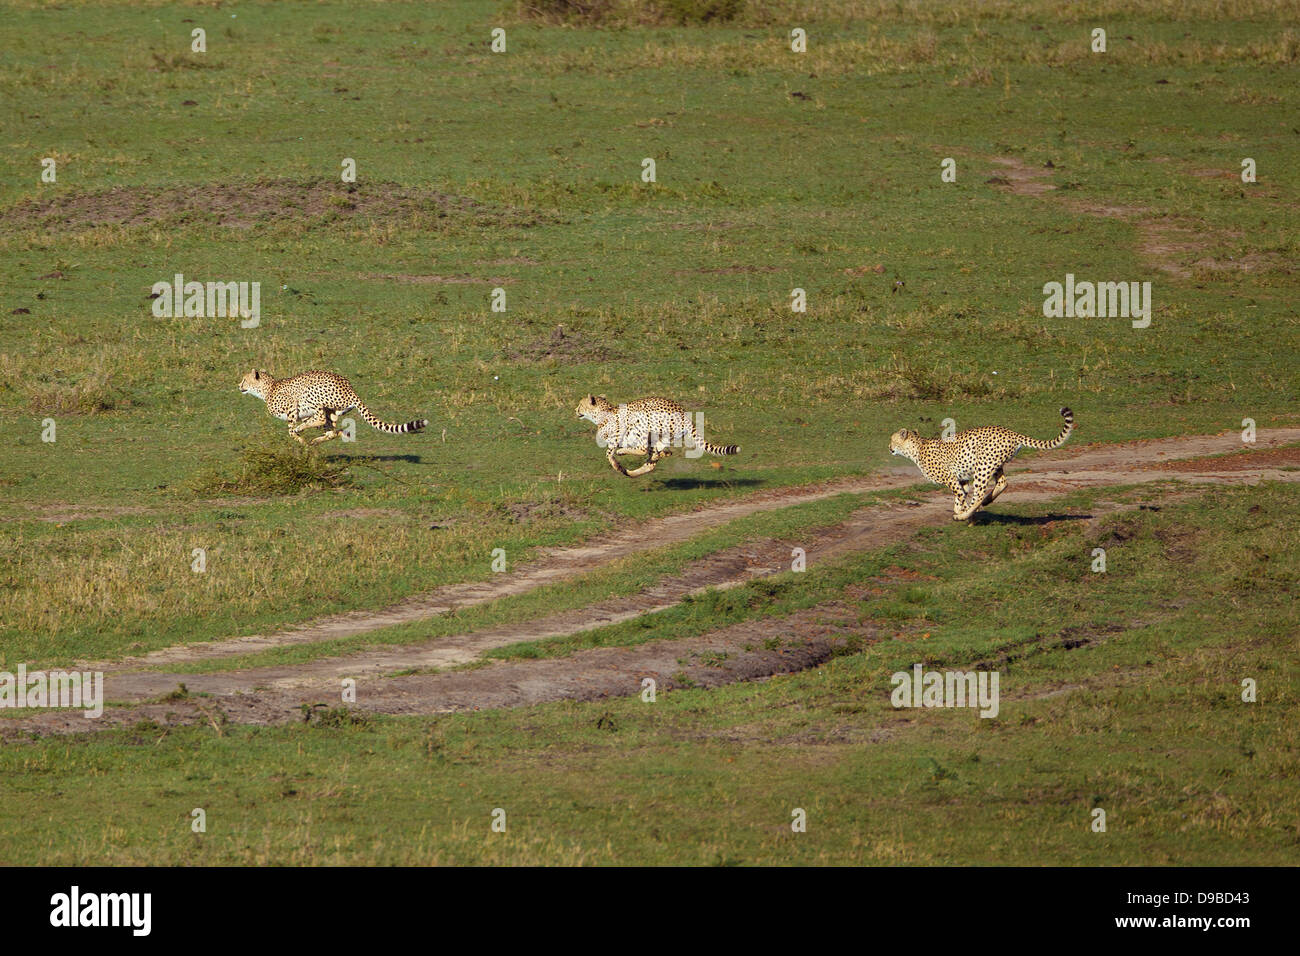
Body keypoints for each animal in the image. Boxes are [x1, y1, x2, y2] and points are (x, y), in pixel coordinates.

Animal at [236, 371, 428, 450]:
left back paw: (306, 431)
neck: (268, 389)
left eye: (244, 379)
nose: (239, 386)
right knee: (331, 429)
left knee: (321, 418)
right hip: (334, 411)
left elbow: (291, 429)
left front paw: (299, 436)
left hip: (313, 395)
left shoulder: (291, 405)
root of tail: (349, 387)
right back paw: (324, 438)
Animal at [574, 395, 738, 476]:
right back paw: (631, 472)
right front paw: (620, 466)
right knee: (653, 460)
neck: (602, 414)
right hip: (661, 437)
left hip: (642, 420)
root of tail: (683, 413)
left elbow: (609, 453)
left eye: (580, 404)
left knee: (644, 450)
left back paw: (625, 458)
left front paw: (616, 464)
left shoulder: (617, 436)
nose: (575, 410)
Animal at [889, 408, 1071, 520]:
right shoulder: (961, 477)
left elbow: (960, 495)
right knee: (1002, 483)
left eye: (892, 439)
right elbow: (961, 493)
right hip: (993, 465)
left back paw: (966, 514)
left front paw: (961, 511)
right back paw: (987, 501)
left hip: (982, 467)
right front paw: (959, 508)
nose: (889, 447)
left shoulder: (950, 477)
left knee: (979, 494)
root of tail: (1011, 432)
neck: (916, 447)